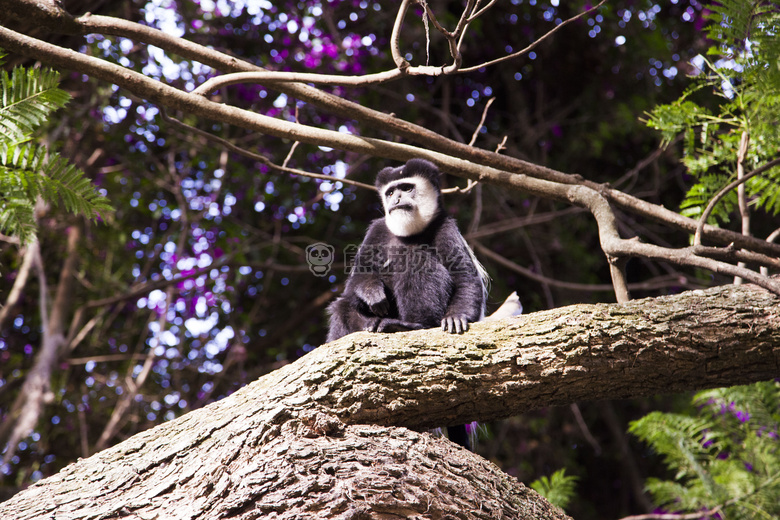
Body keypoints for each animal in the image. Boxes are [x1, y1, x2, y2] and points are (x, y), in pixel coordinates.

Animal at [326, 158, 490, 450]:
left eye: (407, 188)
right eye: (391, 192)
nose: (396, 199)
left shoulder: (446, 228)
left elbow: (465, 277)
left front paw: (456, 317)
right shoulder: (377, 230)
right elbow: (355, 282)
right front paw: (371, 292)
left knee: (415, 258)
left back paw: (407, 326)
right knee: (342, 306)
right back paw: (372, 325)